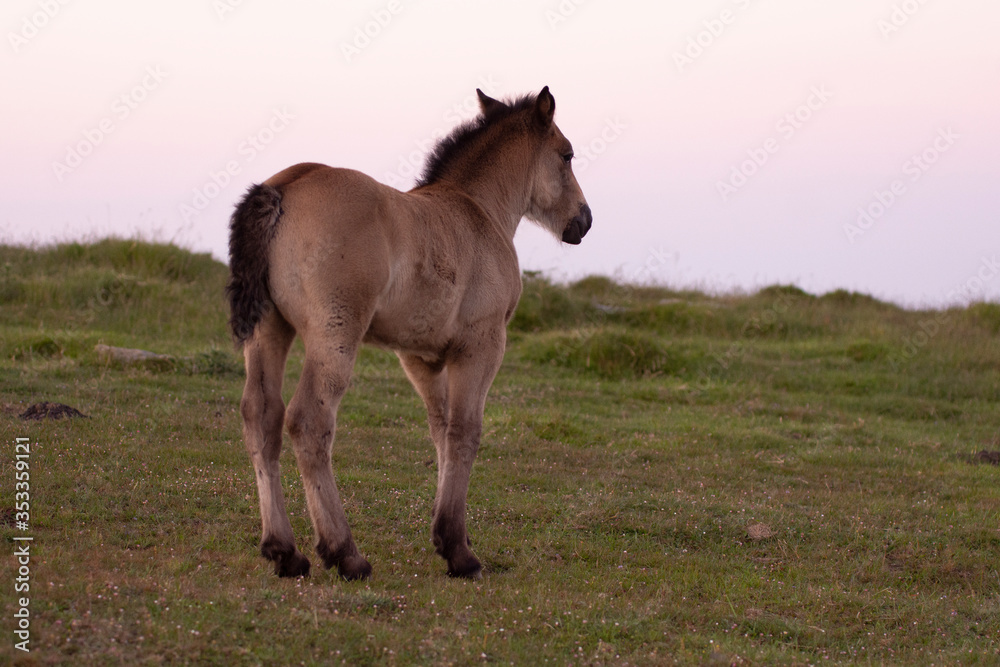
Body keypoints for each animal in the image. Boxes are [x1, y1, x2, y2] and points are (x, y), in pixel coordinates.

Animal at [226, 86, 592, 580]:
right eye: (567, 155)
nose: (583, 221)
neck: (478, 211)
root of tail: (284, 186)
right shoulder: (482, 345)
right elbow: (465, 431)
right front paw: (459, 550)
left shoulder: (420, 357)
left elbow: (440, 431)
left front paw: (444, 535)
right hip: (335, 332)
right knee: (308, 421)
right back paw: (345, 553)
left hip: (270, 329)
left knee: (260, 415)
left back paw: (284, 551)